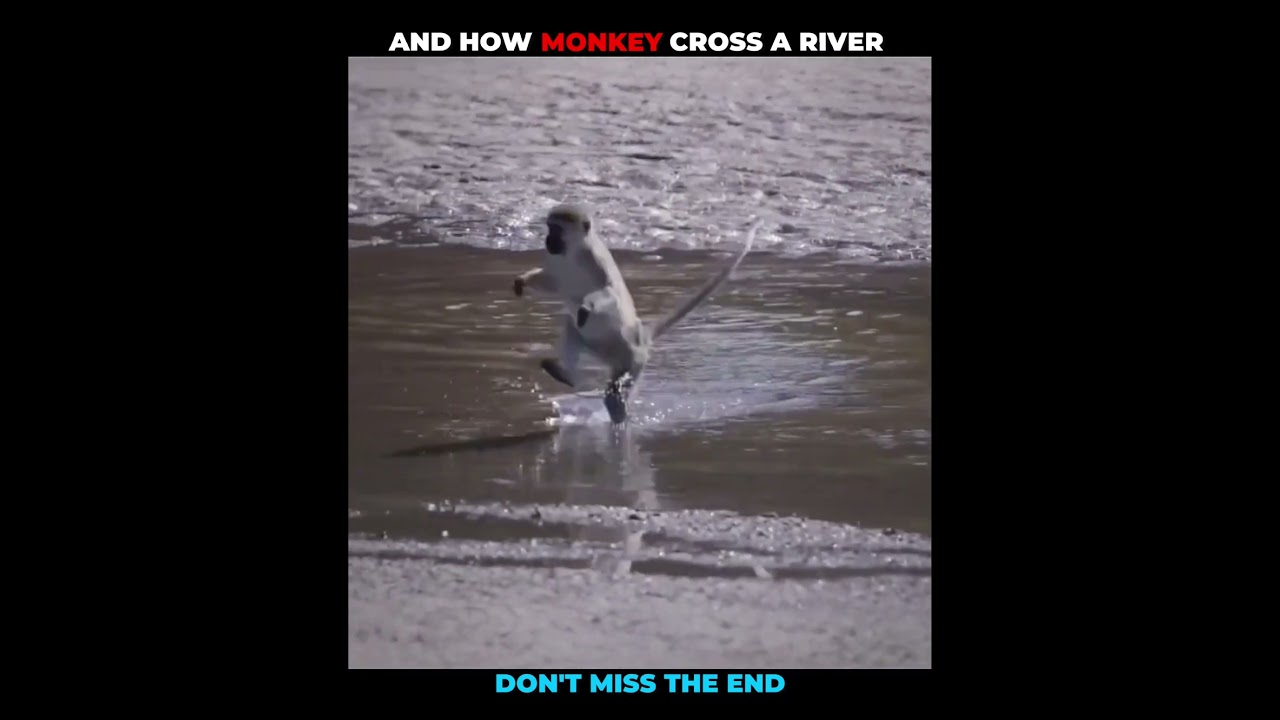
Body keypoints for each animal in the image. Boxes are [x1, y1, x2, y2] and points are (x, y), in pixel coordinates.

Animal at [514, 203, 759, 424]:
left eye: (557, 230)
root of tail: (641, 336)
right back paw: (563, 373)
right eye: (549, 227)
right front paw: (521, 281)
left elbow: (610, 294)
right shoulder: (555, 261)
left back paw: (618, 414)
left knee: (616, 388)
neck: (572, 253)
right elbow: (551, 283)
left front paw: (586, 307)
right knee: (571, 331)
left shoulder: (595, 261)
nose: (548, 240)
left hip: (633, 359)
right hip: (597, 349)